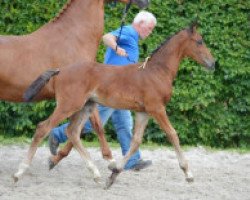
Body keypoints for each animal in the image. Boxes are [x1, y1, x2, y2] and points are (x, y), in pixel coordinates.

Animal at [18, 23, 216, 186]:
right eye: (199, 41)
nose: (212, 63)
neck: (157, 71)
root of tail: (60, 71)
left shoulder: (143, 112)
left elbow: (135, 141)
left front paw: (114, 174)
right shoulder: (157, 109)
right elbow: (173, 134)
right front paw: (188, 173)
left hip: (85, 106)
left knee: (72, 132)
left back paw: (95, 174)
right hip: (68, 105)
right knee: (43, 127)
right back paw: (19, 173)